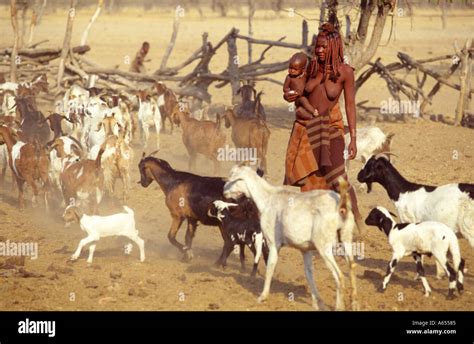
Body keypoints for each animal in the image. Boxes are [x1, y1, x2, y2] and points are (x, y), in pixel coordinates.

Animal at [224, 165, 358, 312]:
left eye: (233, 177)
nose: (224, 192)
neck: (267, 198)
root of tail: (341, 204)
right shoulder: (305, 249)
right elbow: (309, 273)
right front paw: (318, 303)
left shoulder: (273, 243)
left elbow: (270, 267)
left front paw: (262, 297)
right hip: (346, 237)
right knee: (352, 266)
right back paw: (354, 304)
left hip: (324, 245)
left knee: (339, 276)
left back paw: (339, 306)